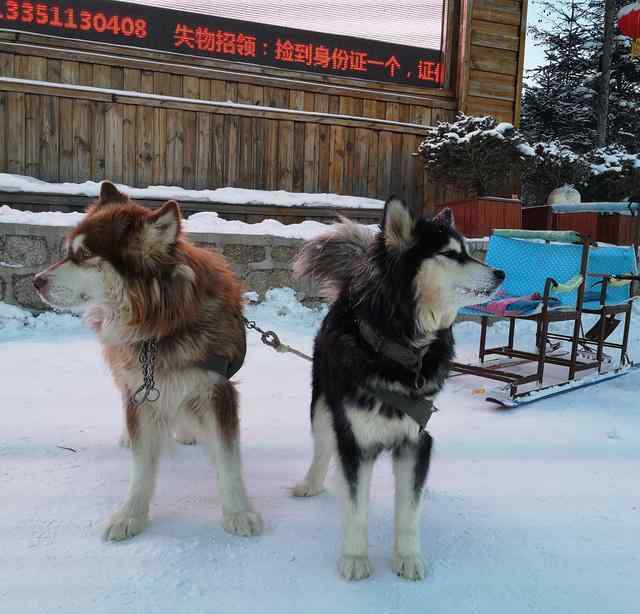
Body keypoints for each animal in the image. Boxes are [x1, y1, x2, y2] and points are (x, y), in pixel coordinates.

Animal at [31, 182, 262, 544]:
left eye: (85, 255)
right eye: (69, 251)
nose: (36, 281)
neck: (159, 326)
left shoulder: (217, 390)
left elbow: (227, 458)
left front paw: (238, 511)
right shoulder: (140, 390)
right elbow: (141, 464)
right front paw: (131, 514)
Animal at [292, 199, 504, 584]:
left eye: (468, 251)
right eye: (450, 254)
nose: (501, 274)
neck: (402, 348)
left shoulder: (416, 440)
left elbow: (408, 509)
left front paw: (408, 557)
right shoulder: (355, 441)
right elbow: (356, 508)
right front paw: (355, 557)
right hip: (321, 406)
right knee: (323, 446)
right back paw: (311, 482)